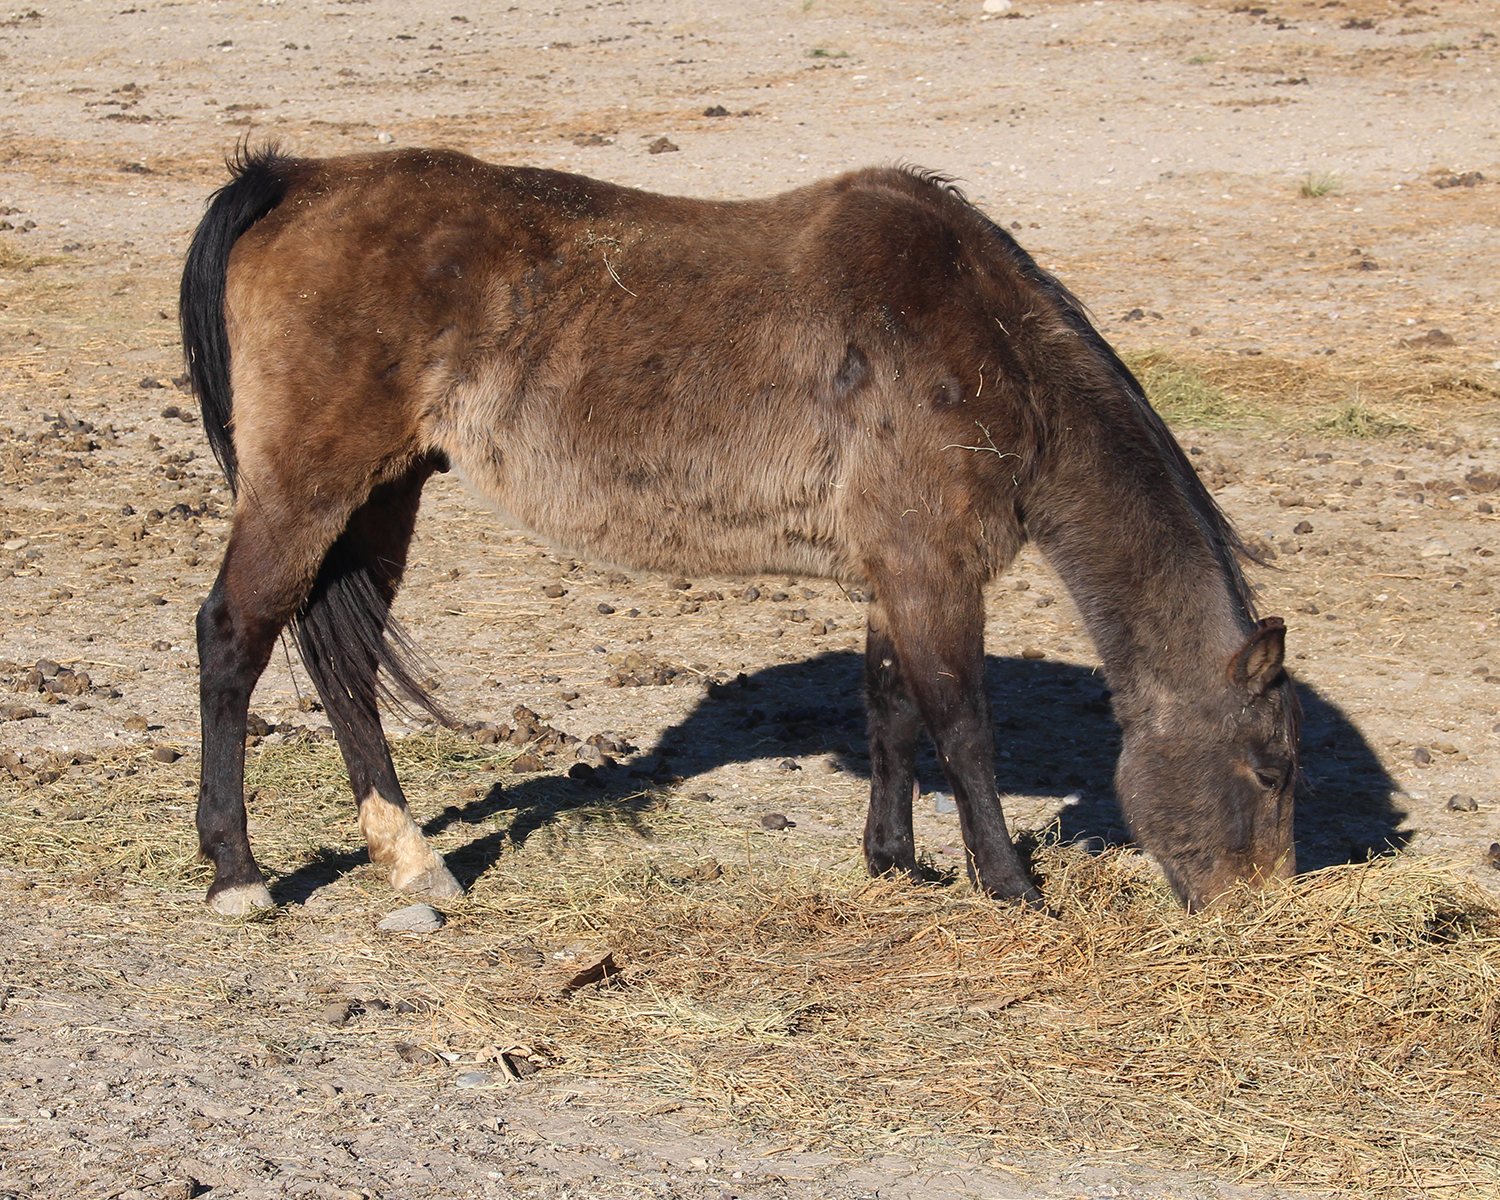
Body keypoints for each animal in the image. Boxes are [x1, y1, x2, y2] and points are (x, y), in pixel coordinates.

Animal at [179, 146, 1299, 916]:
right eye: (1272, 769)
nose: (1261, 914)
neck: (987, 345)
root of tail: (296, 178)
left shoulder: (892, 574)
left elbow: (892, 712)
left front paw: (896, 863)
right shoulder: (932, 572)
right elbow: (963, 726)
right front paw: (1011, 886)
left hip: (383, 491)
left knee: (348, 665)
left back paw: (414, 859)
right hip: (308, 487)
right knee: (233, 638)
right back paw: (240, 877)